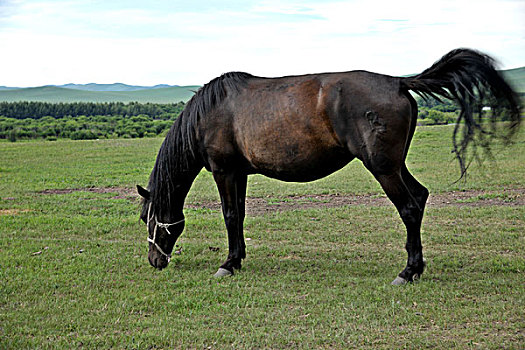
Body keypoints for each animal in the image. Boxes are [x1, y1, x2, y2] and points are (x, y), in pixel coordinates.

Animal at [136, 49, 520, 284]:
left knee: (410, 207)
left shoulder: (224, 170)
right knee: (421, 197)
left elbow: (230, 215)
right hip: (394, 165)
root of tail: (398, 81)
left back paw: (406, 272)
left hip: (383, 168)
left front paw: (227, 265)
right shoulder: (239, 173)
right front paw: (238, 259)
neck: (211, 112)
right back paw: (417, 268)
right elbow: (240, 216)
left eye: (147, 219)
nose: (155, 261)